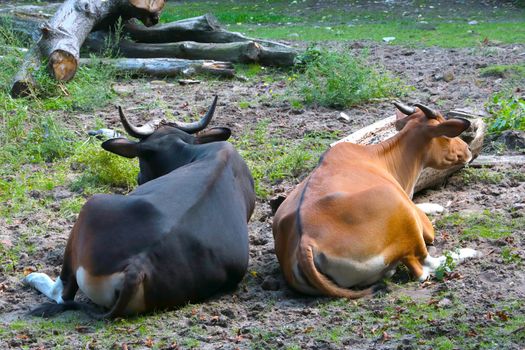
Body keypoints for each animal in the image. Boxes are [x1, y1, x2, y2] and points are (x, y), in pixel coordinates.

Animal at [272, 102, 482, 298]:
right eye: (447, 134)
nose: (468, 150)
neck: (378, 158)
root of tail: (305, 242)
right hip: (404, 219)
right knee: (423, 268)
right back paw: (467, 252)